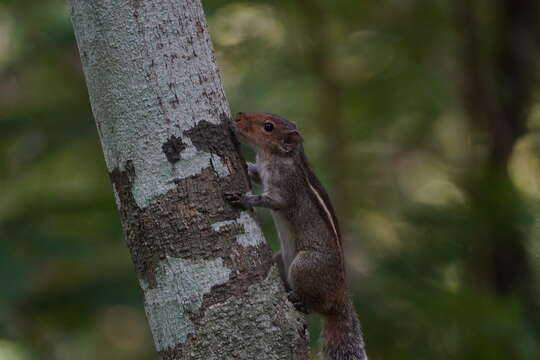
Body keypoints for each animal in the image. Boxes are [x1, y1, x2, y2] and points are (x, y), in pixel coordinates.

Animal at [224, 112, 368, 360]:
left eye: (268, 127)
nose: (238, 117)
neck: (279, 156)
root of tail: (341, 295)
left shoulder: (285, 186)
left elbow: (271, 201)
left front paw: (243, 198)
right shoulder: (263, 172)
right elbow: (255, 174)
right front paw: (246, 165)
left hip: (306, 265)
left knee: (316, 305)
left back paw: (300, 300)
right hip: (283, 259)